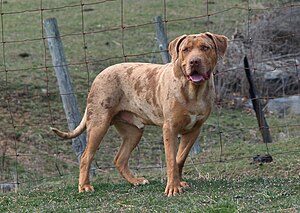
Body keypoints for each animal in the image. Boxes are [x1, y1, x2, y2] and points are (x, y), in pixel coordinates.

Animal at [51, 31, 229, 196]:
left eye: (205, 48)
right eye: (185, 50)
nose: (194, 61)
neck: (194, 91)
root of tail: (100, 74)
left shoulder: (193, 130)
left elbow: (179, 158)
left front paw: (179, 183)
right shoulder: (170, 129)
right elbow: (171, 160)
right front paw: (173, 187)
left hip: (133, 132)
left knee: (120, 159)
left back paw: (135, 181)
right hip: (98, 125)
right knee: (85, 157)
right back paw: (84, 186)